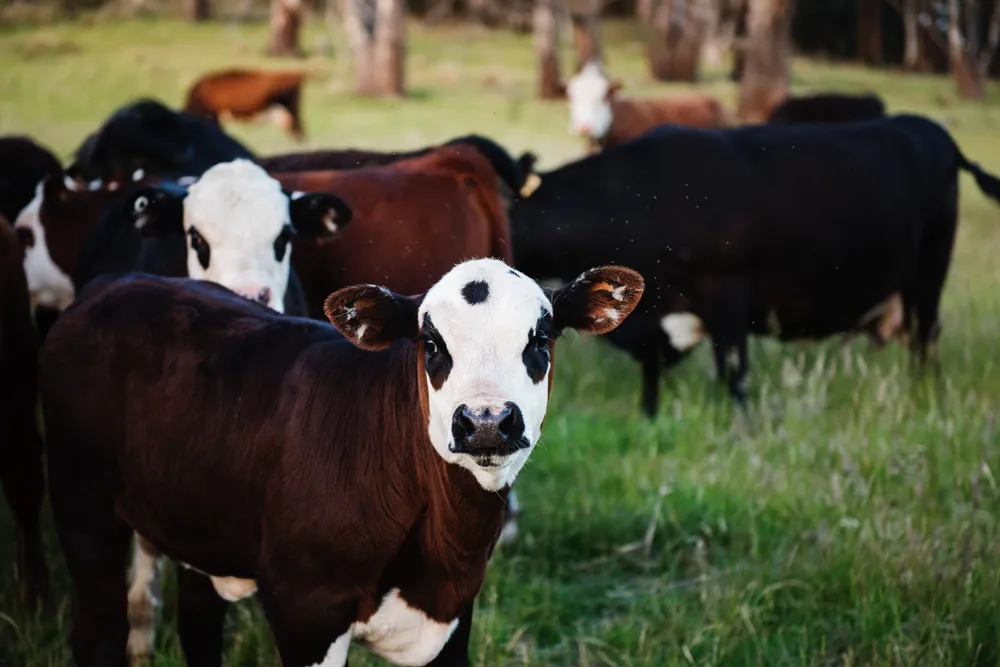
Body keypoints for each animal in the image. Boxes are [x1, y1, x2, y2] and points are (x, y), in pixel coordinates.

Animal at [40, 258, 644, 667]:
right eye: (431, 343)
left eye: (539, 338)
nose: (487, 420)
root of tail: (114, 283)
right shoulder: (306, 609)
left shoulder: (454, 614)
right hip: (82, 510)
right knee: (98, 630)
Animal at [510, 113, 1000, 418]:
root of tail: (929, 128)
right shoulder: (653, 322)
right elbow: (651, 372)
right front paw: (648, 418)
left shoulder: (727, 296)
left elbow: (734, 372)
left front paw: (739, 429)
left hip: (927, 279)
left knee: (925, 341)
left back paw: (922, 393)